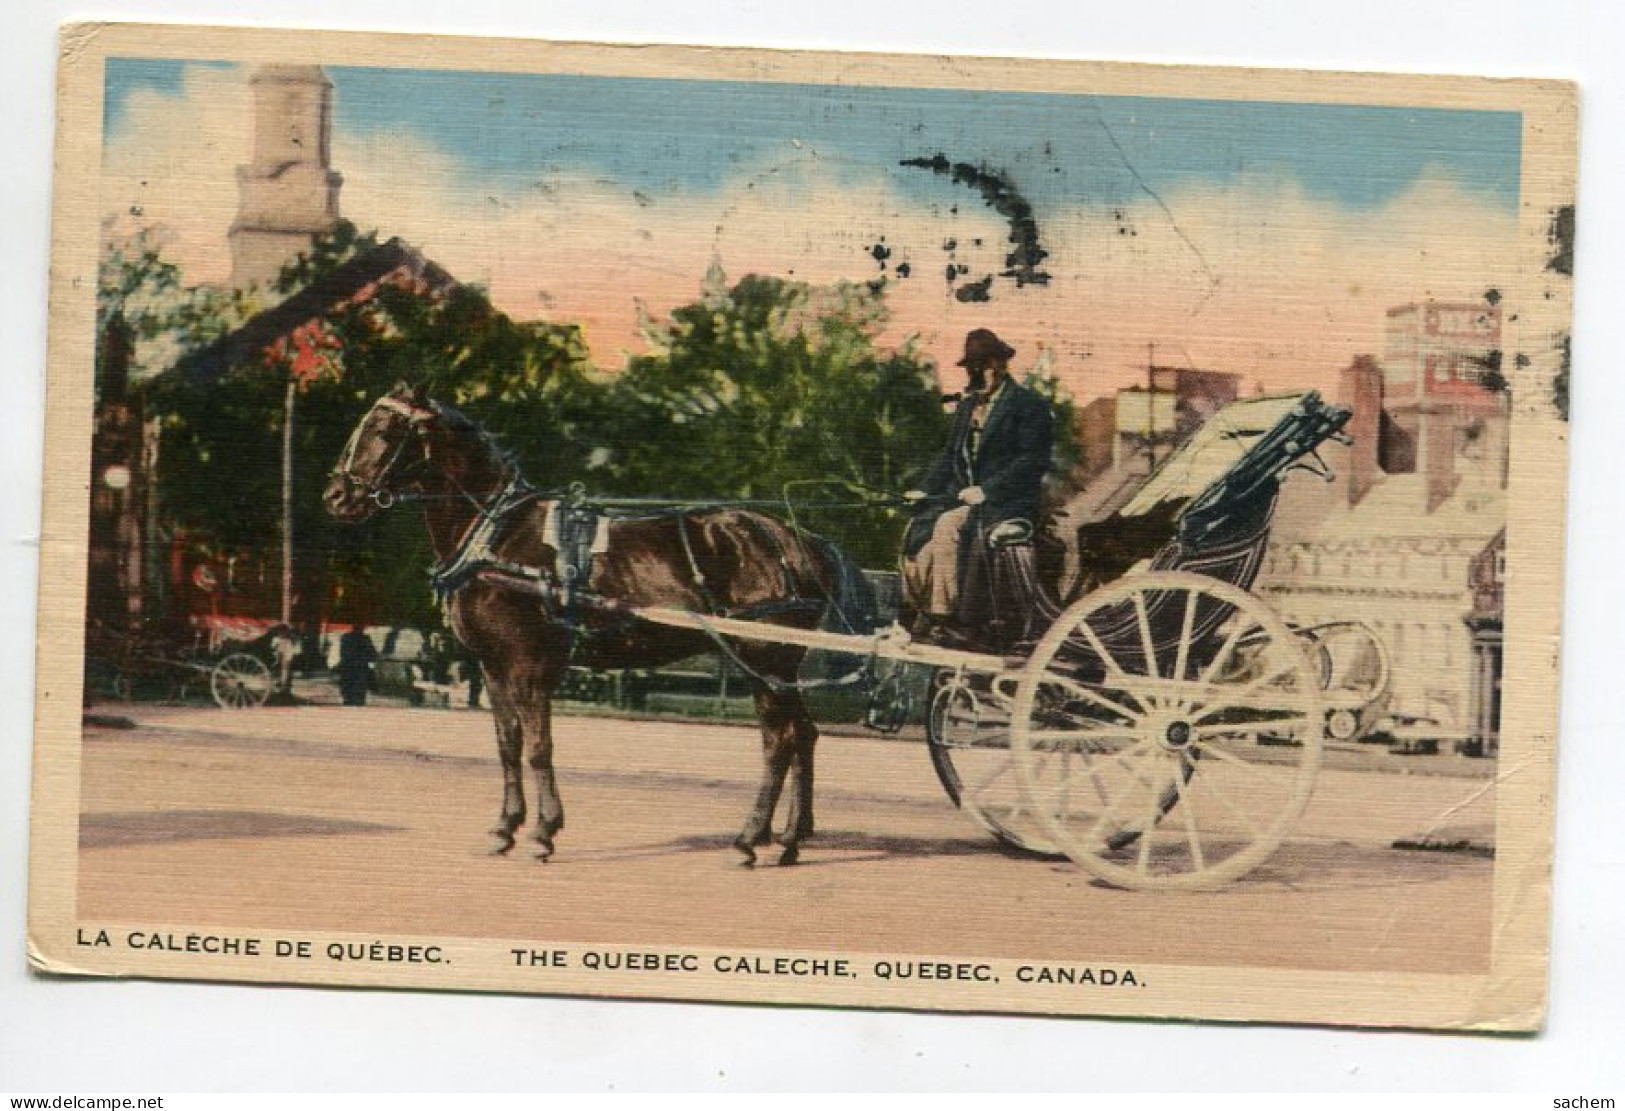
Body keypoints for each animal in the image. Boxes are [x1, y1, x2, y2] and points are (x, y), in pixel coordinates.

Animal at [321, 386, 871, 864]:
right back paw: (790, 839)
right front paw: (505, 828)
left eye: (384, 430)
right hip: (782, 666)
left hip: (763, 660)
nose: (335, 496)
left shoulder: (528, 663)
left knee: (778, 742)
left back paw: (750, 838)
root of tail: (798, 540)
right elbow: (508, 745)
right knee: (804, 735)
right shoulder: (492, 666)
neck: (498, 534)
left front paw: (544, 832)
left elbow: (539, 747)